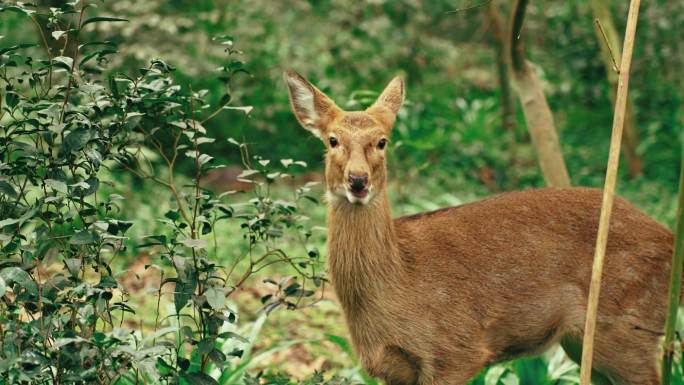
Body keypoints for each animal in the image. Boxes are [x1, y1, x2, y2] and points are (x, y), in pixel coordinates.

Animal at [284, 70, 680, 384]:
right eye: (332, 140)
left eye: (381, 141)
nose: (358, 180)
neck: (399, 280)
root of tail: (671, 240)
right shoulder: (395, 369)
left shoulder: (457, 349)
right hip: (588, 342)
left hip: (626, 326)